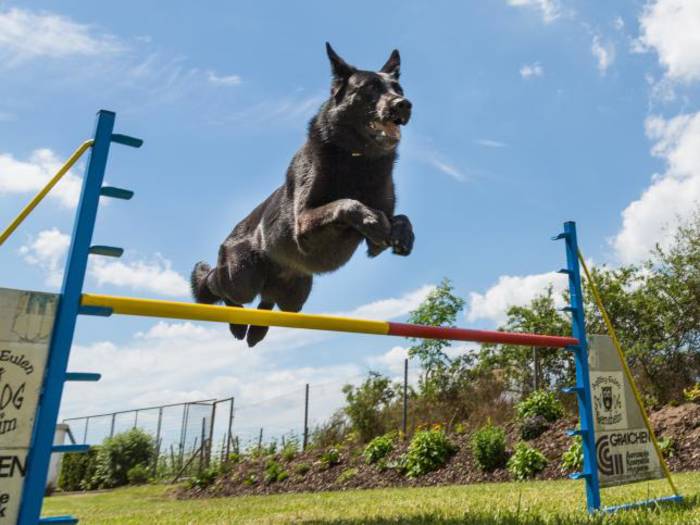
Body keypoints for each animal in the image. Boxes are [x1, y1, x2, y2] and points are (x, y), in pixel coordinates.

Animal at [189, 43, 412, 346]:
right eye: (369, 88)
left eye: (398, 89)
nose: (404, 104)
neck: (357, 159)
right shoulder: (303, 223)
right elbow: (346, 204)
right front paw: (371, 220)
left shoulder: (377, 234)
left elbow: (400, 217)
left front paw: (403, 236)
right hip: (241, 276)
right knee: (221, 286)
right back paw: (236, 322)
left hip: (294, 300)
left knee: (268, 302)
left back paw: (256, 330)